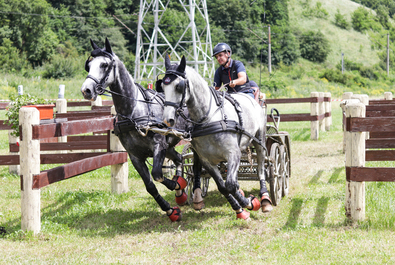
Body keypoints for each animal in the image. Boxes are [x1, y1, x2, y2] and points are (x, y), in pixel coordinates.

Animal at [80, 38, 190, 221]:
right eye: (88, 66)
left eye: (104, 64)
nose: (86, 90)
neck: (133, 113)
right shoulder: (135, 156)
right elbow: (150, 185)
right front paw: (170, 209)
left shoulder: (159, 146)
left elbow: (157, 174)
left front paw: (175, 185)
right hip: (169, 147)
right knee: (180, 158)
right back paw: (181, 193)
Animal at [161, 54, 272, 218]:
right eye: (162, 86)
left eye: (178, 86)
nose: (167, 120)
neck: (209, 119)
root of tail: (252, 99)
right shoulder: (207, 161)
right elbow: (223, 186)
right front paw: (240, 209)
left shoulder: (233, 153)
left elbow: (231, 184)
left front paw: (250, 203)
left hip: (260, 139)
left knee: (261, 168)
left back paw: (265, 199)